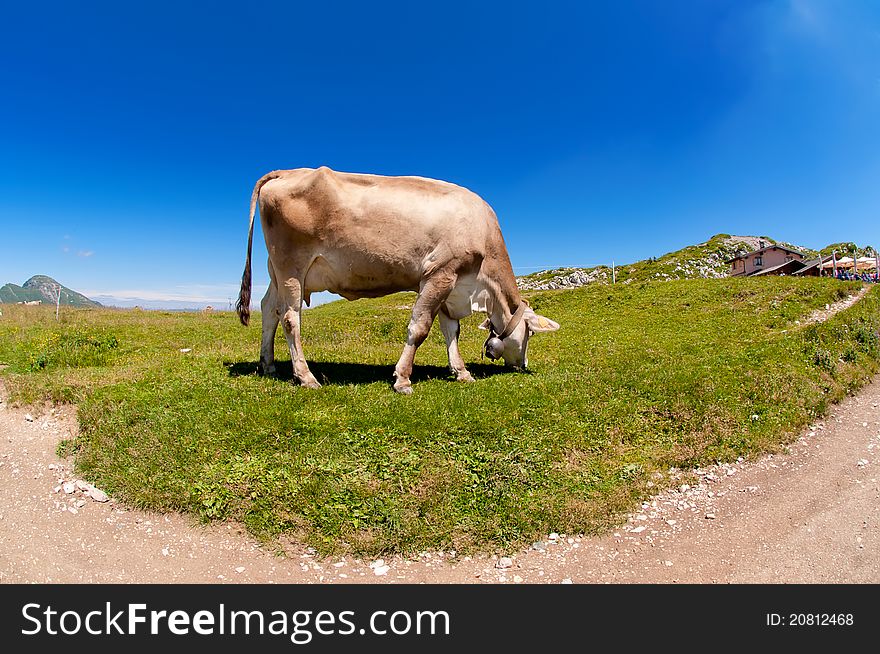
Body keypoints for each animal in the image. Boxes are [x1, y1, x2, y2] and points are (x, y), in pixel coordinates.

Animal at [237, 168, 560, 394]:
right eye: (530, 334)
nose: (523, 365)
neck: (479, 289)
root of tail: (286, 171)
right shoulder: (440, 272)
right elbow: (420, 328)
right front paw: (403, 379)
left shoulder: (450, 283)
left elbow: (451, 331)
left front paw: (461, 372)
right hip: (292, 265)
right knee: (290, 317)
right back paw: (306, 377)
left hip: (276, 271)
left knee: (268, 309)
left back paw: (268, 364)